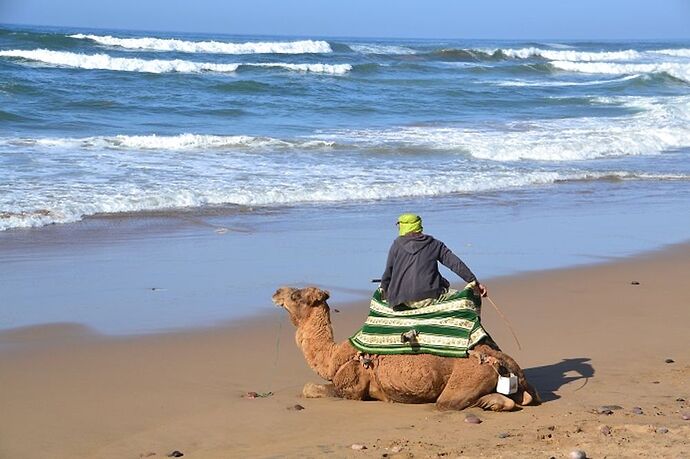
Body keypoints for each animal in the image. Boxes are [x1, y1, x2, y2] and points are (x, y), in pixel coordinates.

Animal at [272, 286, 540, 412]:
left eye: (296, 296)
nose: (276, 292)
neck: (332, 358)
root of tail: (509, 365)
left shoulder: (351, 388)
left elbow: (310, 388)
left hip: (468, 377)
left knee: (448, 403)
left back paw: (489, 404)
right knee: (526, 398)